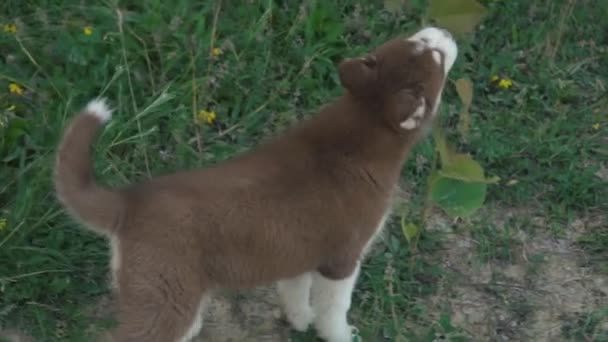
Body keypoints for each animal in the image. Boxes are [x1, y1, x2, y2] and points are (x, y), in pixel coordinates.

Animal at [54, 27, 456, 342]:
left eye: (421, 40)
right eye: (432, 50)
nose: (445, 33)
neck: (359, 126)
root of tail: (128, 201)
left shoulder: (298, 251)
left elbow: (295, 294)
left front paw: (299, 321)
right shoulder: (342, 259)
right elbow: (334, 309)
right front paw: (339, 334)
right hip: (165, 295)